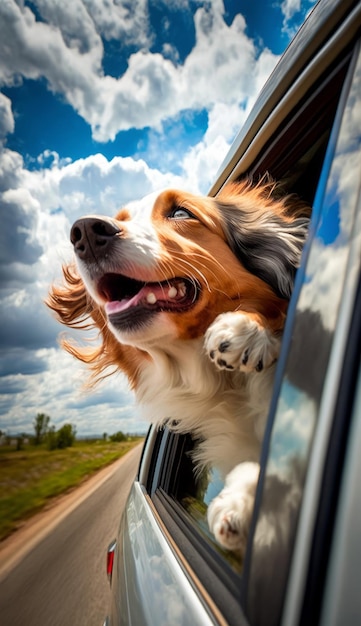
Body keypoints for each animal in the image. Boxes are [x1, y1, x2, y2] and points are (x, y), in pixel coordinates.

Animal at [46, 179, 308, 552]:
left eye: (181, 213)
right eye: (122, 218)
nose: (84, 232)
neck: (222, 381)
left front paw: (245, 331)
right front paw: (243, 500)